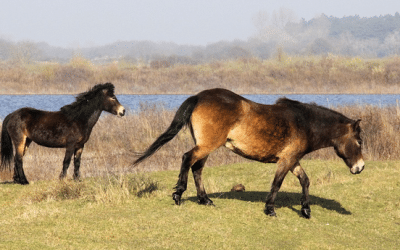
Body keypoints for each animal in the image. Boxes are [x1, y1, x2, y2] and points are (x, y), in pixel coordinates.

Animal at [133, 88, 364, 219]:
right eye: (360, 141)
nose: (360, 167)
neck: (304, 122)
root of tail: (199, 97)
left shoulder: (292, 160)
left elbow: (305, 181)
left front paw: (306, 210)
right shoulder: (286, 160)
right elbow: (277, 183)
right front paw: (270, 210)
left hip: (206, 146)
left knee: (197, 168)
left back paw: (205, 200)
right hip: (207, 145)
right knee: (187, 159)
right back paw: (178, 194)